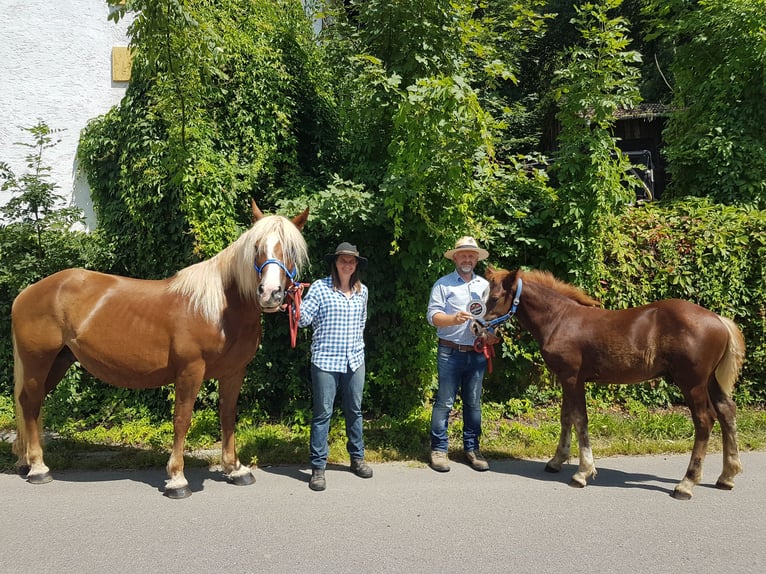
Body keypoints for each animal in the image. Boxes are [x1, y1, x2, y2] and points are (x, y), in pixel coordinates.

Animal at [12, 202, 308, 500]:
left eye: (292, 251)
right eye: (257, 246)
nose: (269, 293)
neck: (217, 309)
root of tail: (27, 292)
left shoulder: (234, 371)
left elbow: (227, 415)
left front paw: (235, 469)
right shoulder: (190, 371)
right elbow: (182, 419)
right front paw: (177, 479)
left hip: (58, 362)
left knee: (31, 404)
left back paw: (28, 462)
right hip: (39, 361)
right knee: (30, 402)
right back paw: (38, 468)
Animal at [476, 268, 748, 502]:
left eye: (496, 297)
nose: (478, 328)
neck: (559, 319)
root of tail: (719, 319)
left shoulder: (573, 378)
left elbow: (579, 419)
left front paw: (582, 473)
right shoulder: (566, 378)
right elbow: (566, 417)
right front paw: (556, 461)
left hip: (692, 382)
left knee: (705, 420)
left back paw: (686, 483)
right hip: (710, 380)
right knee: (727, 411)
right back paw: (727, 476)